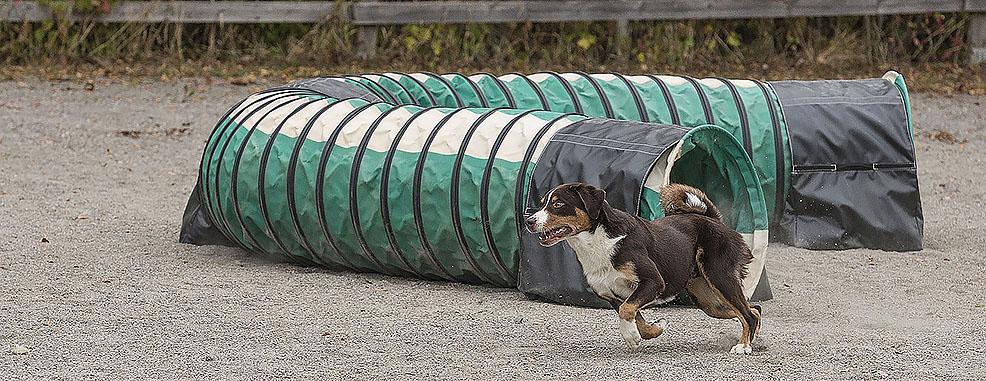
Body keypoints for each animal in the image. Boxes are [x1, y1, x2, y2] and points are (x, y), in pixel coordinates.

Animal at [524, 182, 760, 354]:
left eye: (558, 204)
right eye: (543, 203)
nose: (529, 221)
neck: (599, 244)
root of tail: (712, 219)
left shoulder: (653, 282)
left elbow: (627, 310)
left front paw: (632, 336)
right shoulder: (612, 294)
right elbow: (632, 315)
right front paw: (653, 328)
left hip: (720, 278)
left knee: (747, 314)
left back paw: (743, 346)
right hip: (708, 301)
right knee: (753, 310)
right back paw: (751, 340)